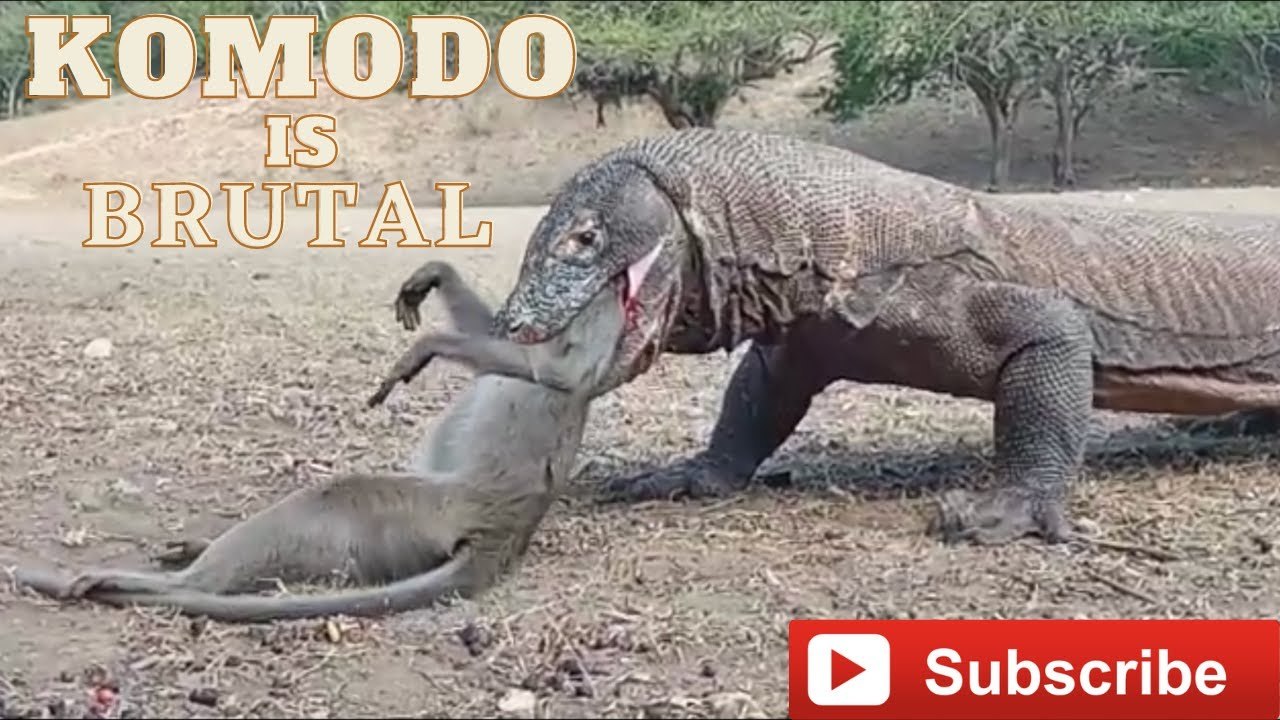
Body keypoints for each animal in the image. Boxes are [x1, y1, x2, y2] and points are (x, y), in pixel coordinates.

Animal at [9, 261, 628, 623]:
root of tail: (506, 532)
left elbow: (558, 372)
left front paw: (428, 344)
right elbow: (498, 332)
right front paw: (435, 278)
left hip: (418, 510)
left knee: (328, 501)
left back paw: (170, 580)